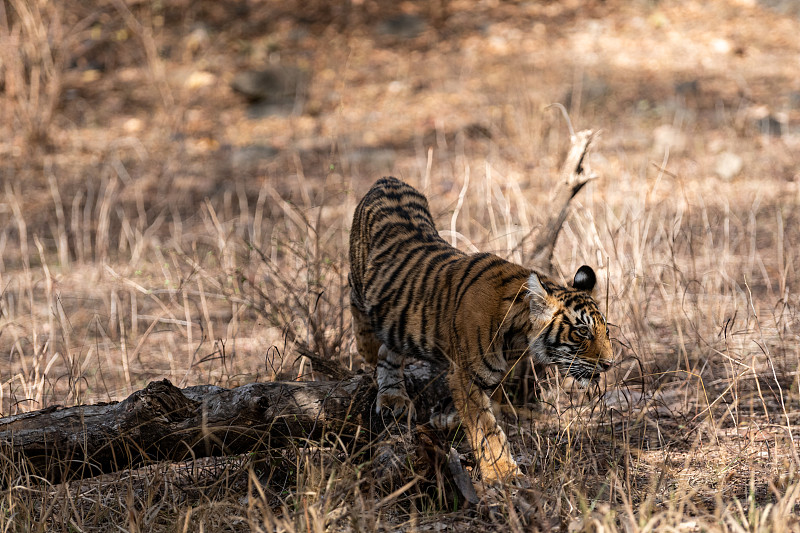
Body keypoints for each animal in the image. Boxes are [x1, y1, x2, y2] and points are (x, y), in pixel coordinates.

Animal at [346, 177, 616, 480]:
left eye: (606, 332)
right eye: (583, 332)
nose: (609, 364)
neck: (519, 338)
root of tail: (387, 179)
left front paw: (445, 417)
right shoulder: (466, 375)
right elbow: (487, 429)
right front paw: (504, 474)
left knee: (388, 350)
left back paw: (393, 397)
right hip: (360, 285)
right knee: (360, 315)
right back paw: (369, 351)